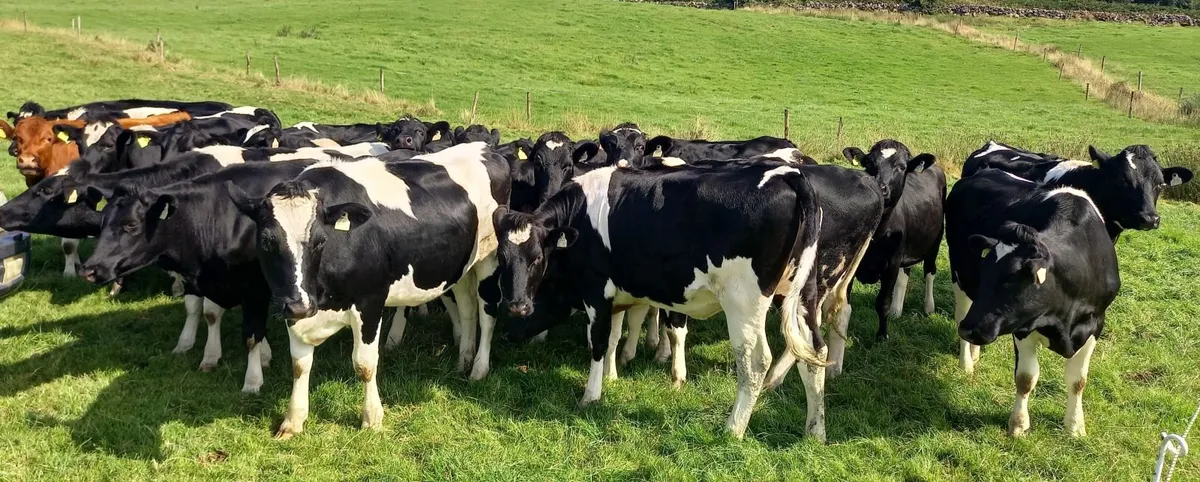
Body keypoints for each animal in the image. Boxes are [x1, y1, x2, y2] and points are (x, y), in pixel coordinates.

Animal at [78, 160, 321, 394]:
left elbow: (252, 335)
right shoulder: (202, 278)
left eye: (131, 224)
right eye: (102, 222)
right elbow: (204, 312)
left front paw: (252, 380)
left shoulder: (255, 288)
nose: (88, 270)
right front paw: (201, 352)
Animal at [225, 142, 510, 438]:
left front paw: (372, 418)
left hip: (488, 257)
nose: (300, 306)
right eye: (266, 241)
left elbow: (364, 364)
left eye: (320, 241)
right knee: (467, 308)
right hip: (462, 265)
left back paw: (479, 368)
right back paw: (464, 359)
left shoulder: (370, 302)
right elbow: (299, 365)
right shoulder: (295, 309)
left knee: (487, 313)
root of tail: (484, 148)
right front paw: (293, 420)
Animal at [492, 161, 825, 440]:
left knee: (755, 361)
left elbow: (598, 341)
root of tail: (787, 174)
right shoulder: (616, 293)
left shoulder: (596, 291)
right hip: (801, 295)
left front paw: (592, 394)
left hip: (743, 301)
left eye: (537, 259)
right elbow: (614, 337)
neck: (581, 217)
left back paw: (733, 428)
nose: (516, 308)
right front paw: (613, 376)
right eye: (502, 259)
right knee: (814, 352)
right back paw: (815, 431)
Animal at [841, 140, 943, 341]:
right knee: (905, 274)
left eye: (901, 167)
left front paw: (882, 336)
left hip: (936, 239)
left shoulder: (891, 264)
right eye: (868, 164)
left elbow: (883, 303)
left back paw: (929, 307)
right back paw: (897, 310)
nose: (880, 187)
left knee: (930, 271)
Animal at [948, 169, 1118, 437]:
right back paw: (966, 362)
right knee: (961, 312)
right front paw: (1018, 424)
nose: (970, 329)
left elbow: (1078, 380)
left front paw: (1074, 426)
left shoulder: (1094, 325)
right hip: (960, 276)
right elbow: (1026, 378)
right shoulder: (1022, 327)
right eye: (985, 272)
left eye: (1013, 279)